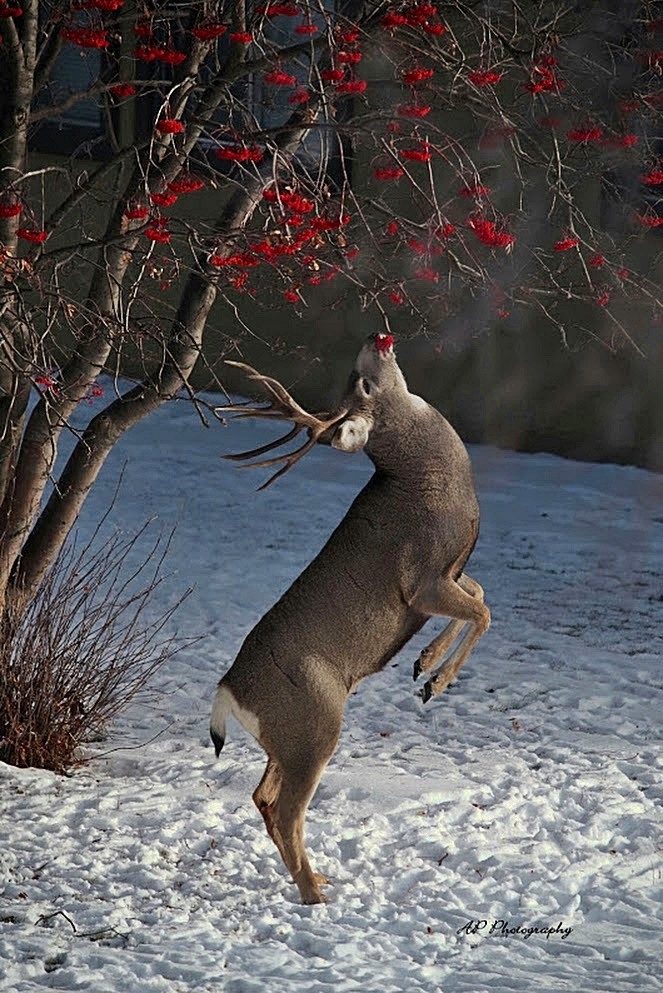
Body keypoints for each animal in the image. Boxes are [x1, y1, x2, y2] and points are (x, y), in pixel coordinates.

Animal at [210, 333, 490, 904]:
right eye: (362, 384)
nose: (377, 338)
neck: (426, 478)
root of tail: (230, 690)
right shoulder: (420, 581)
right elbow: (485, 610)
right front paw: (435, 683)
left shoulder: (449, 572)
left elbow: (479, 593)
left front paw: (424, 664)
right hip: (317, 722)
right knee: (286, 808)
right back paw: (315, 896)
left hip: (288, 738)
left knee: (263, 797)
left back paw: (316, 879)